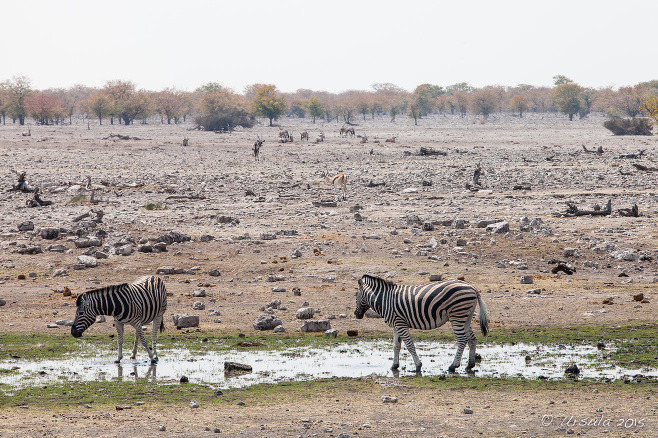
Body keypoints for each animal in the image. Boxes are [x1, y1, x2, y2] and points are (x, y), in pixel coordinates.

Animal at [354, 274, 486, 372]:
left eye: (356, 296)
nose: (356, 314)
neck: (384, 300)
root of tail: (472, 287)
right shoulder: (395, 325)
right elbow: (396, 346)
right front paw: (394, 366)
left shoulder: (400, 324)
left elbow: (409, 345)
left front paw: (418, 366)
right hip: (466, 317)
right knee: (472, 339)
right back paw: (470, 365)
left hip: (457, 315)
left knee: (462, 340)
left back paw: (453, 366)